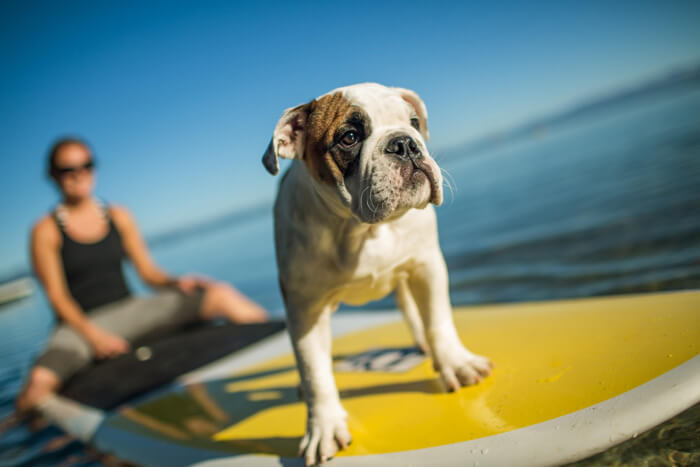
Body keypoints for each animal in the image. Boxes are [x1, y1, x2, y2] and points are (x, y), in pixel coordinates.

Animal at [262, 83, 492, 464]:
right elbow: (314, 371)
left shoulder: (426, 265)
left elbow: (438, 320)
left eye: (413, 122)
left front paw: (456, 363)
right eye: (349, 137)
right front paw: (323, 427)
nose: (405, 143)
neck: (361, 229)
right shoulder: (304, 310)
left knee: (413, 311)